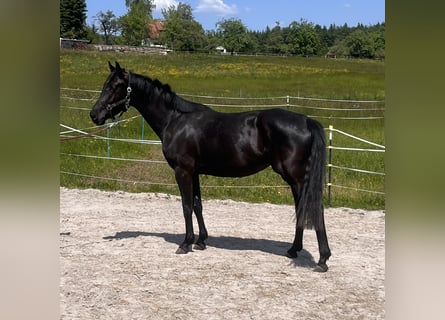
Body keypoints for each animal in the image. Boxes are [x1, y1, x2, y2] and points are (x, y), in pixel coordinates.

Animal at [90, 61, 330, 272]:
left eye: (114, 86)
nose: (94, 115)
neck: (175, 120)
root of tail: (306, 121)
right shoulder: (194, 172)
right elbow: (198, 205)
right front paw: (201, 241)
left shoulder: (182, 171)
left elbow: (186, 206)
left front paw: (185, 243)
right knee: (302, 209)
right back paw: (293, 250)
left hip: (296, 178)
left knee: (313, 209)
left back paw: (322, 259)